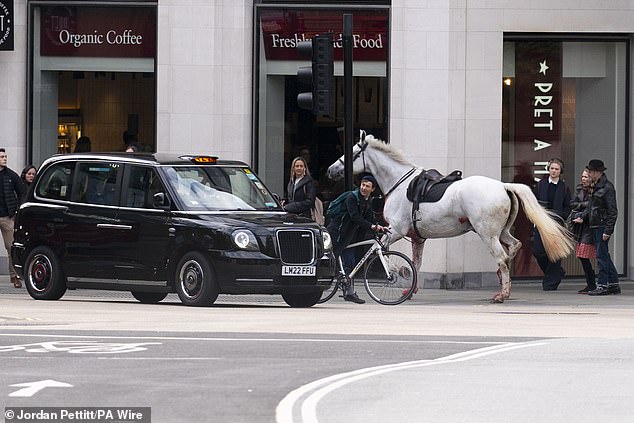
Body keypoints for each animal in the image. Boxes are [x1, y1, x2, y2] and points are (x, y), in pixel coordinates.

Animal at [326, 134, 572, 304]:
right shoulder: (417, 238)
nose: (330, 170)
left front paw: (395, 273)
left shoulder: (394, 231)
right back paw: (503, 283)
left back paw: (502, 294)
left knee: (502, 258)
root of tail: (503, 185)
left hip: (488, 235)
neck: (400, 182)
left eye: (353, 152)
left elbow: (378, 254)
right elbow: (416, 263)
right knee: (514, 247)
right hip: (501, 233)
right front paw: (409, 289)